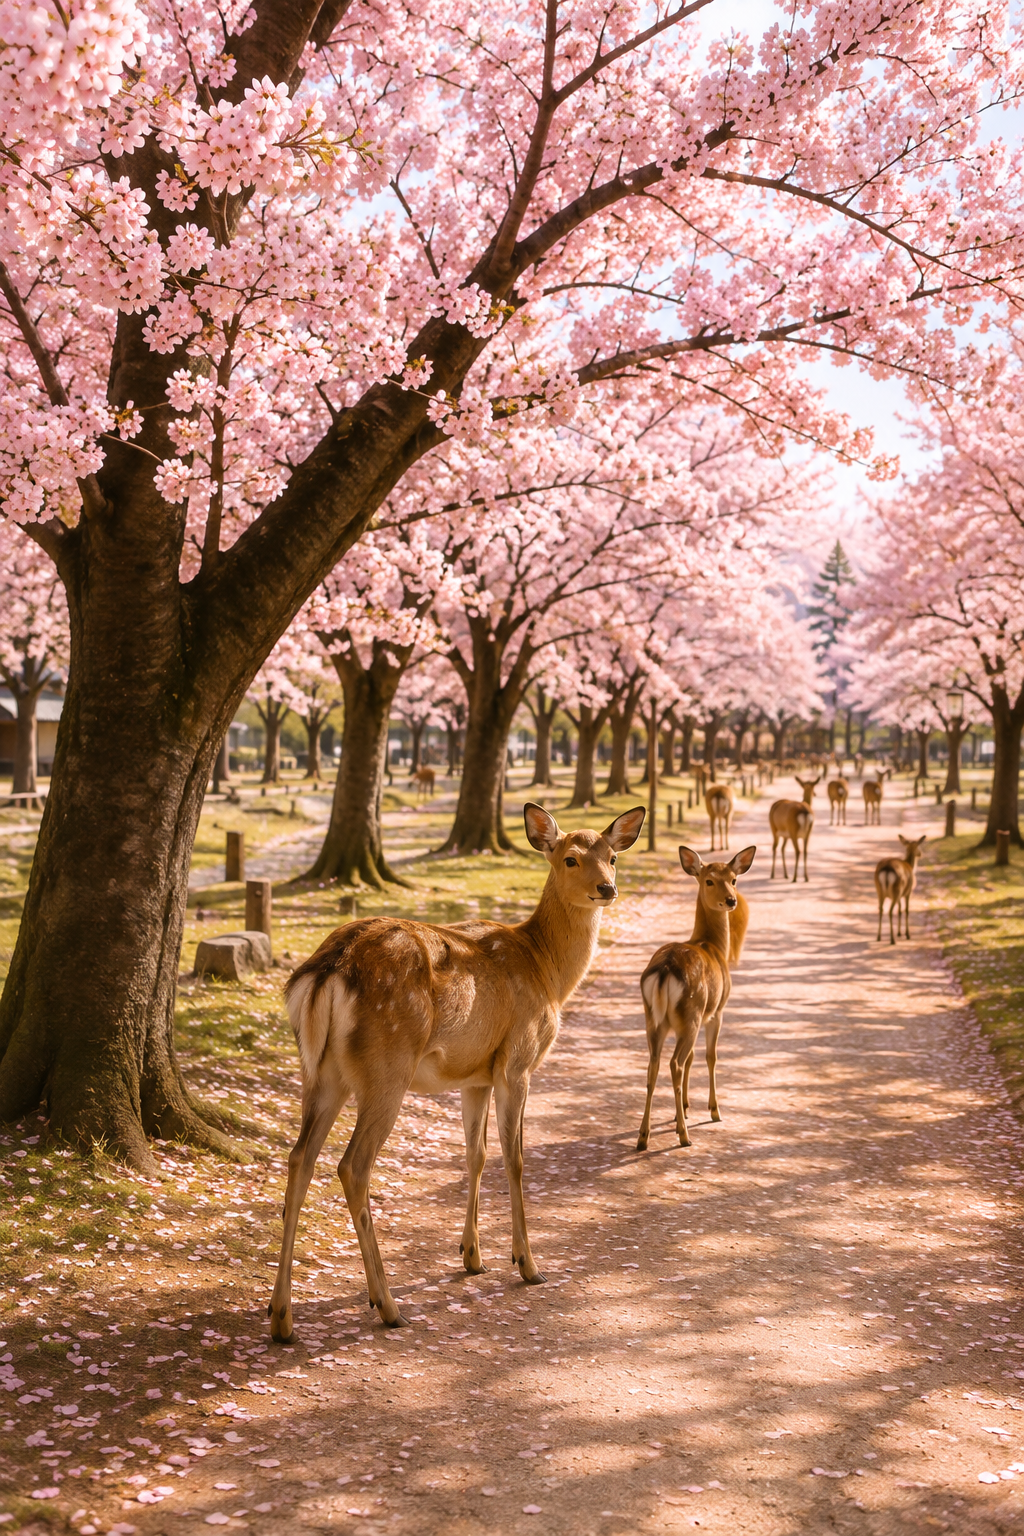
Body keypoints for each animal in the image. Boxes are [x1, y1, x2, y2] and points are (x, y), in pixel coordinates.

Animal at [267, 802, 646, 1343]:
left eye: (612, 856)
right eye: (570, 858)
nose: (607, 888)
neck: (548, 971)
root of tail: (327, 969)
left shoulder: (476, 1077)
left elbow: (476, 1155)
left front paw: (472, 1257)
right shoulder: (516, 1061)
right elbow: (515, 1159)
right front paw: (528, 1264)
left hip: (321, 1073)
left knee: (299, 1158)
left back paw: (282, 1318)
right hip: (387, 1068)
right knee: (352, 1164)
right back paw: (387, 1305)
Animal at [636, 844, 756, 1150]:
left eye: (734, 879)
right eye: (709, 880)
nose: (730, 900)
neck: (712, 945)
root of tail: (665, 970)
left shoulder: (698, 1018)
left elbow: (692, 1058)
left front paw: (688, 1107)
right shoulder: (715, 1011)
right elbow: (710, 1056)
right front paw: (713, 1111)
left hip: (654, 1019)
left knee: (653, 1065)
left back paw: (643, 1137)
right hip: (690, 1012)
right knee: (675, 1063)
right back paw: (684, 1135)